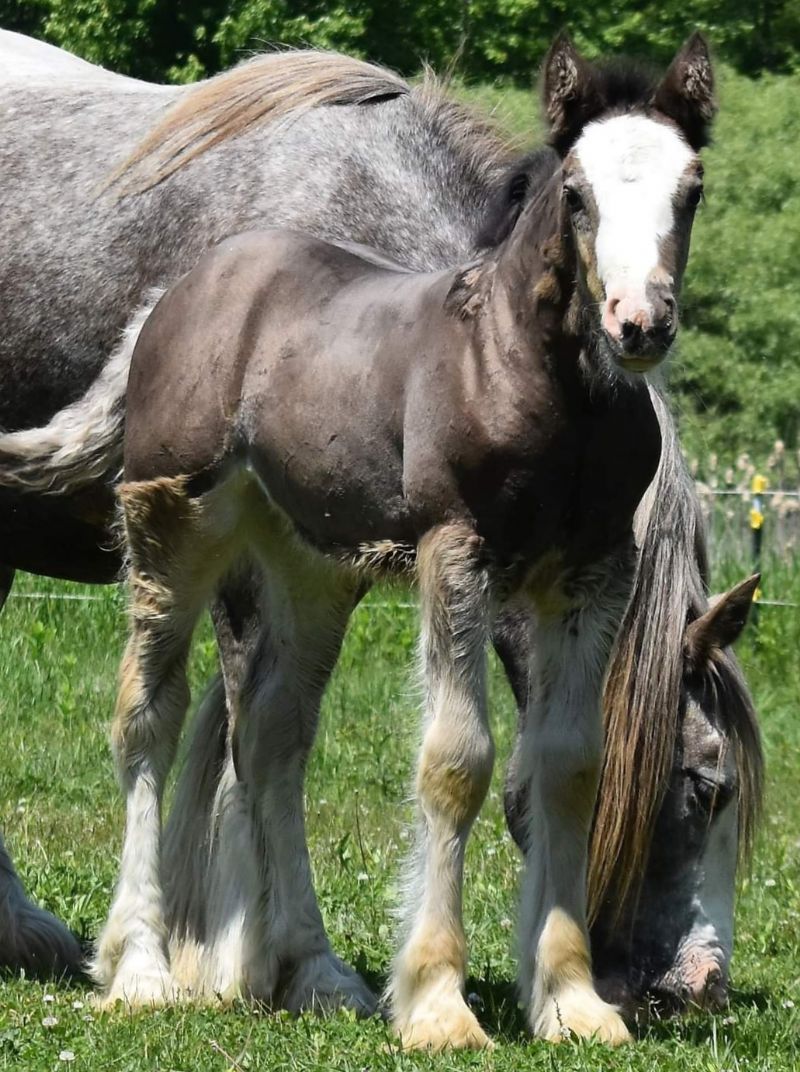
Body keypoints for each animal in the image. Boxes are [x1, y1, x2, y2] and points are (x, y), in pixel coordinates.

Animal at [0, 27, 759, 1011]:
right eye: (704, 785)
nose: (698, 982)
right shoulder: (249, 568)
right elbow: (240, 744)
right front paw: (236, 955)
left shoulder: (328, 566)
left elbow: (269, 738)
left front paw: (284, 962)